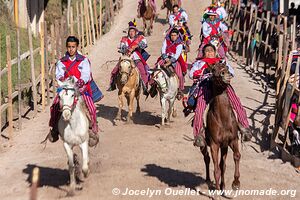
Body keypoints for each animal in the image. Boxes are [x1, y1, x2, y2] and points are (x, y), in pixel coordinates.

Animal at [200, 63, 240, 196]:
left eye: (227, 67)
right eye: (213, 70)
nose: (225, 74)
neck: (223, 120)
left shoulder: (232, 140)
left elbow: (236, 156)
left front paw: (235, 183)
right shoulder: (214, 144)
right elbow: (216, 168)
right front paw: (216, 193)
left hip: (224, 147)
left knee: (223, 165)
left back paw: (222, 187)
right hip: (204, 145)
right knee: (206, 159)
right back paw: (208, 180)